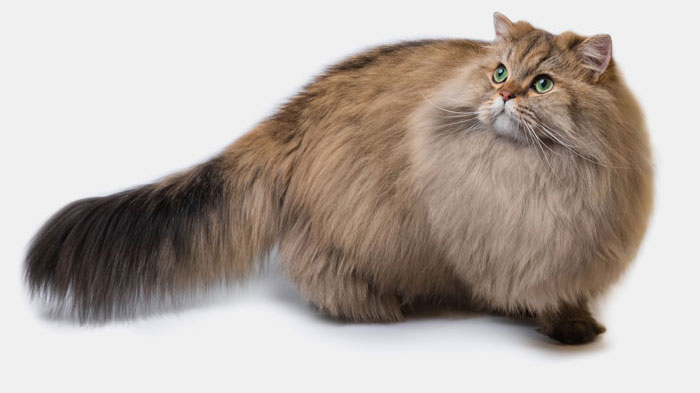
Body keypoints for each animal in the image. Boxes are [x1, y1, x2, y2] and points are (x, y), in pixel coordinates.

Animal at [24, 13, 652, 344]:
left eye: (543, 84)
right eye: (499, 72)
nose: (504, 96)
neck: (531, 173)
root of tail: (297, 109)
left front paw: (571, 323)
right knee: (317, 267)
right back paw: (380, 306)